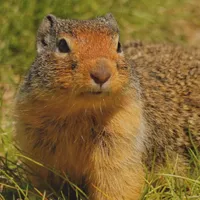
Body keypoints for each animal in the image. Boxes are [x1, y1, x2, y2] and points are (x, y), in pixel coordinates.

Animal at [14, 13, 199, 199]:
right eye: (62, 45)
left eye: (118, 45)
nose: (101, 74)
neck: (80, 112)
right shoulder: (38, 152)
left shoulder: (121, 141)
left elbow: (116, 185)